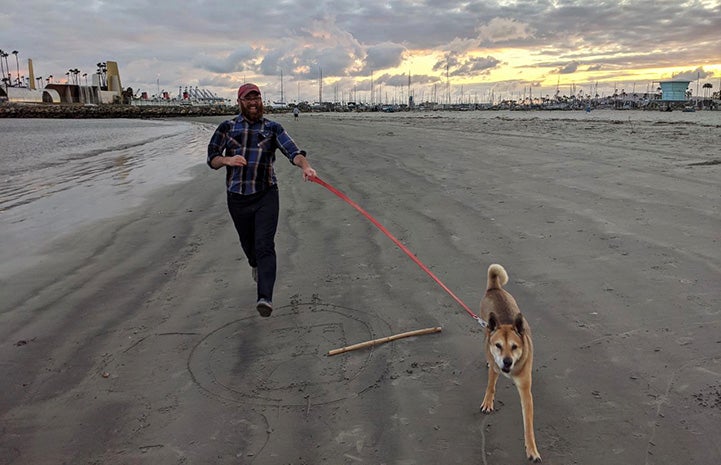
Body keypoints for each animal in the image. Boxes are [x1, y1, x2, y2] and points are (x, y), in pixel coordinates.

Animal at [478, 262, 540, 462]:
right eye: (498, 345)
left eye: (514, 347)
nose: (506, 362)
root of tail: (494, 288)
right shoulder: (494, 367)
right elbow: (490, 386)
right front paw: (488, 402)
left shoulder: (526, 391)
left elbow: (528, 423)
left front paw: (532, 449)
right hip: (486, 329)